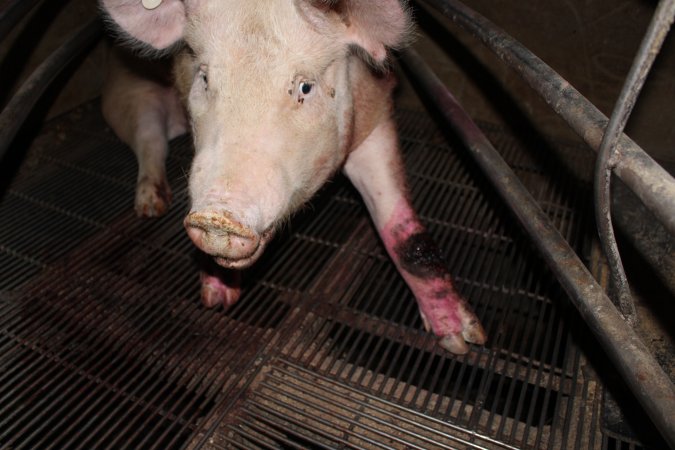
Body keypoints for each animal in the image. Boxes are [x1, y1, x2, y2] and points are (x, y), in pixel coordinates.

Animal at [100, 0, 486, 356]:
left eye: (305, 88)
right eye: (205, 78)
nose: (217, 216)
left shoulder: (375, 113)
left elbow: (407, 237)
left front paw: (462, 342)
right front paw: (216, 300)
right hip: (130, 92)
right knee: (149, 139)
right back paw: (151, 205)